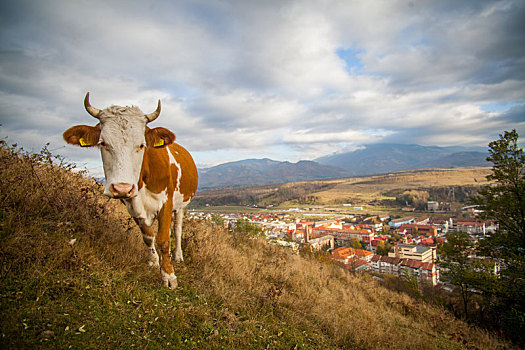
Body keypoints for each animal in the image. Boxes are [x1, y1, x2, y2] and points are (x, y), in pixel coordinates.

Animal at [63, 93, 198, 290]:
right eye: (103, 143)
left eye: (142, 145)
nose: (122, 188)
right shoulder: (131, 204)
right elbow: (148, 236)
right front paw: (153, 261)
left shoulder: (166, 202)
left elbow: (164, 239)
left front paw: (169, 276)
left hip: (182, 204)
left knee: (178, 229)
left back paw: (178, 256)